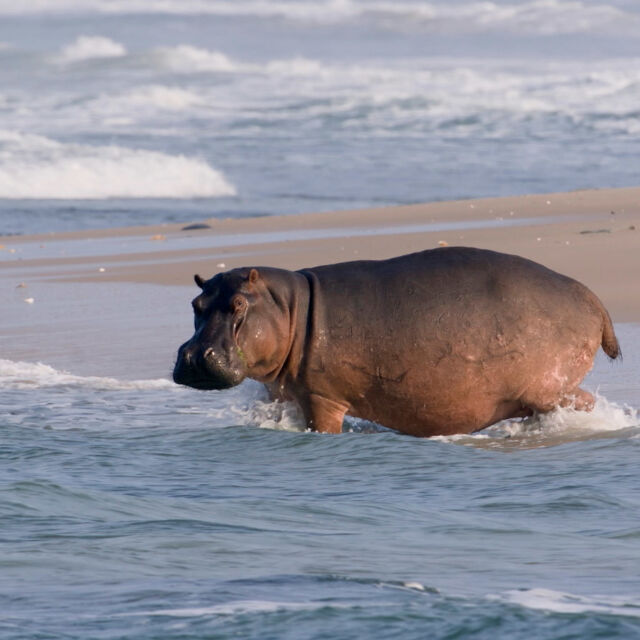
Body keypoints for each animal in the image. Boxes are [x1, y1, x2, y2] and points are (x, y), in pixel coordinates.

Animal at [173, 247, 620, 437]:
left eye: (237, 304)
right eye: (196, 303)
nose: (194, 356)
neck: (290, 305)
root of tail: (594, 298)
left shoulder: (322, 396)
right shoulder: (283, 395)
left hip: (548, 386)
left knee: (582, 402)